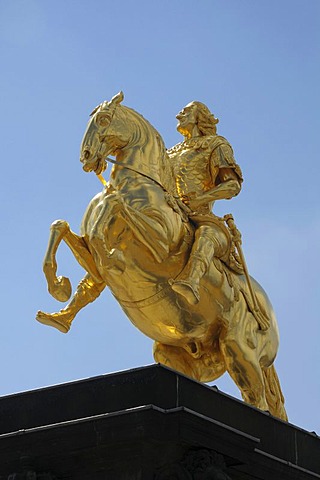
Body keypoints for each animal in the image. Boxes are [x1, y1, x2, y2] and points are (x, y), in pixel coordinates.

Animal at [37, 91, 288, 420]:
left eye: (103, 119)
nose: (87, 155)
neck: (136, 184)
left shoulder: (161, 246)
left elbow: (115, 207)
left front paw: (114, 256)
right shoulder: (90, 256)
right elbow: (62, 229)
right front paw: (59, 289)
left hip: (239, 352)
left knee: (258, 401)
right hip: (178, 353)